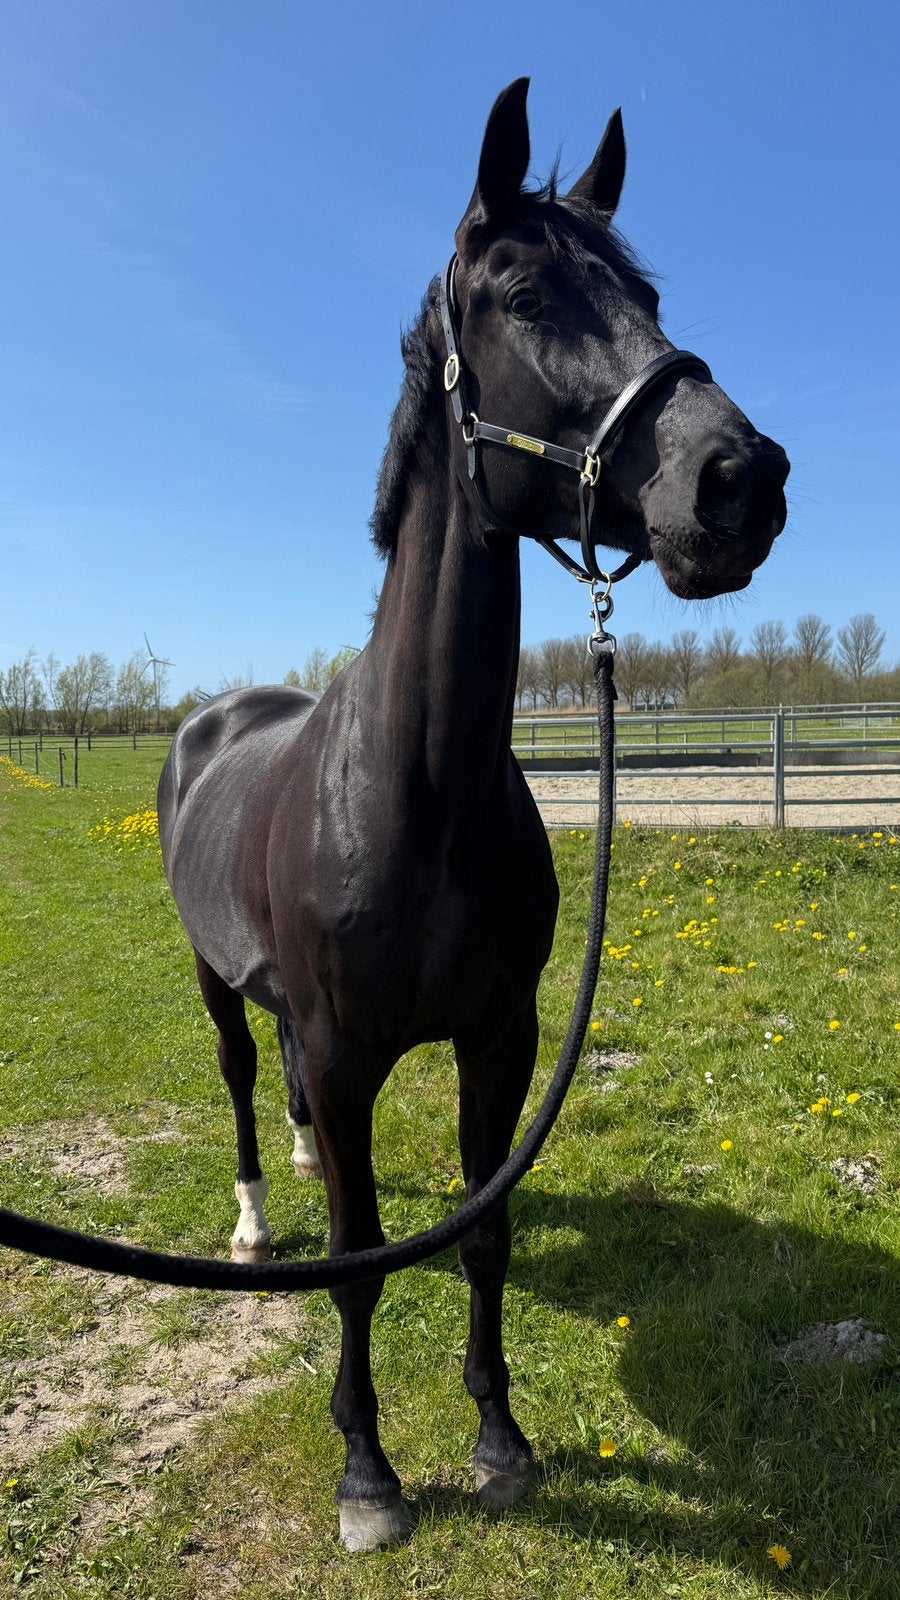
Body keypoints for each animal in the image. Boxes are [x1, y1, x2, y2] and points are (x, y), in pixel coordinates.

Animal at [157, 80, 789, 1551]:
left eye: (647, 293)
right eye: (520, 294)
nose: (741, 478)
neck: (415, 790)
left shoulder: (501, 1037)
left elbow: (485, 1233)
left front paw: (500, 1441)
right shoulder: (347, 1056)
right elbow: (357, 1262)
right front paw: (370, 1474)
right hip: (219, 988)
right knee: (243, 1086)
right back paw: (254, 1220)